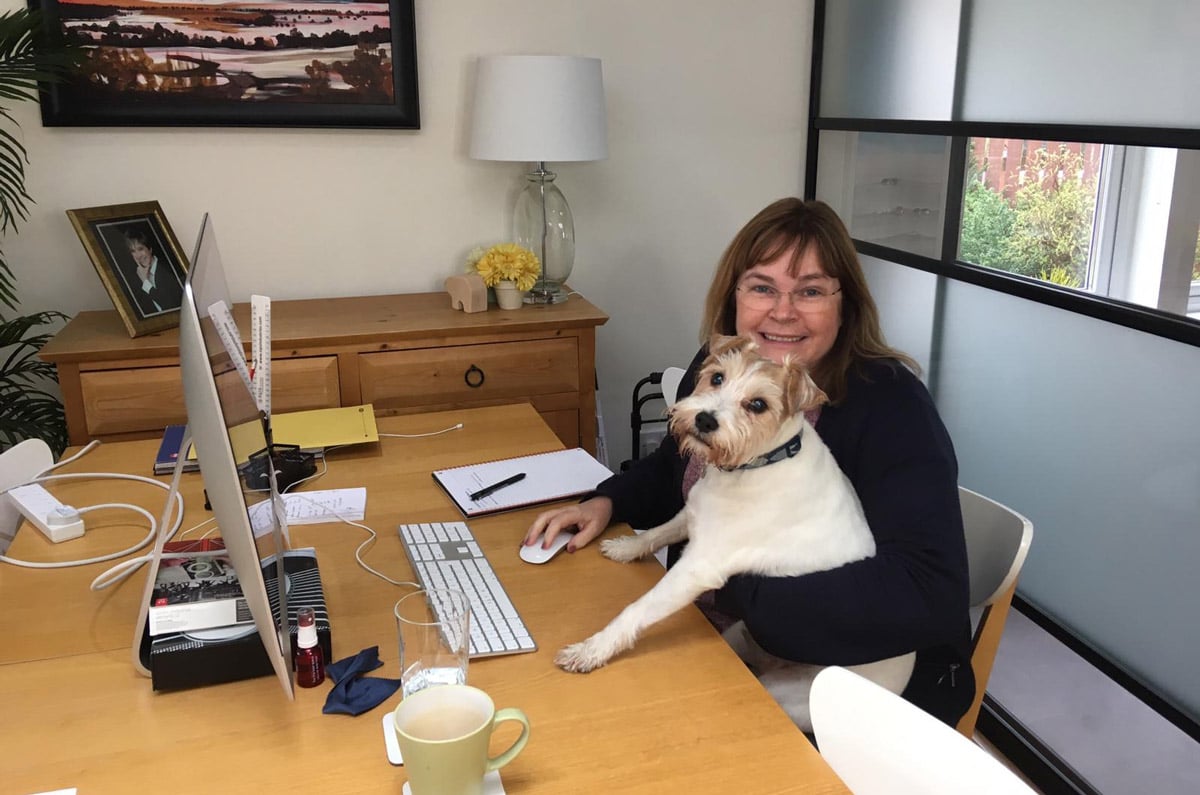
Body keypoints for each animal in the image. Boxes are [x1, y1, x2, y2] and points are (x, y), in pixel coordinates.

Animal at [556, 336, 912, 734]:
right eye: (717, 378)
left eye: (758, 404)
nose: (705, 419)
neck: (760, 462)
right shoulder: (695, 514)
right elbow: (658, 532)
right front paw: (627, 546)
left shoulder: (697, 568)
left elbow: (637, 609)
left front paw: (592, 649)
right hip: (738, 636)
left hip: (788, 694)